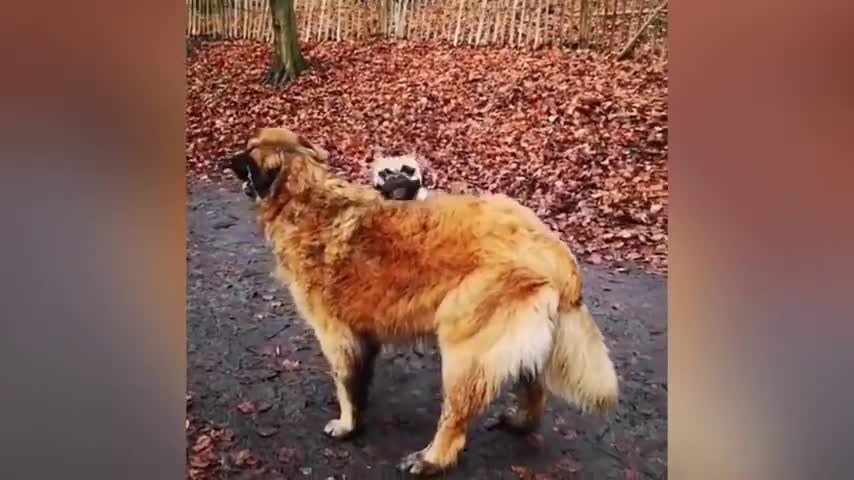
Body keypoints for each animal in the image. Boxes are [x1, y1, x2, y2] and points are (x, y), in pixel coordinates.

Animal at [224, 125, 620, 474]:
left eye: (248, 150)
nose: (226, 159)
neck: (306, 197)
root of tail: (553, 250)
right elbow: (360, 379)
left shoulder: (335, 334)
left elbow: (346, 384)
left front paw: (348, 425)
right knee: (534, 388)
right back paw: (520, 422)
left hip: (464, 349)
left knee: (456, 419)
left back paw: (431, 458)